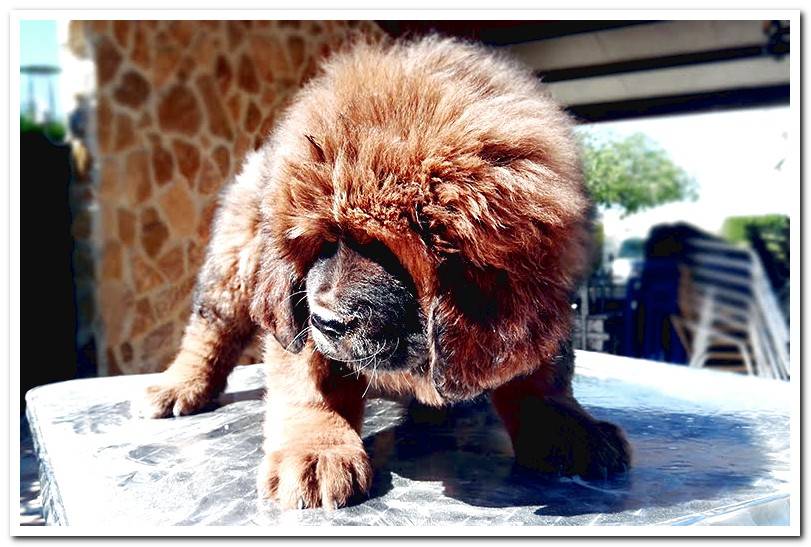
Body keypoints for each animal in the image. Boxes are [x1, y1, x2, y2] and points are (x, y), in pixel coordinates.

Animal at [143, 36, 632, 512]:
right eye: (323, 243)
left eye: (387, 252)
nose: (327, 322)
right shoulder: (298, 308)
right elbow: (309, 381)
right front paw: (316, 451)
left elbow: (543, 374)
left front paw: (565, 427)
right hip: (236, 258)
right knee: (212, 324)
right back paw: (180, 385)